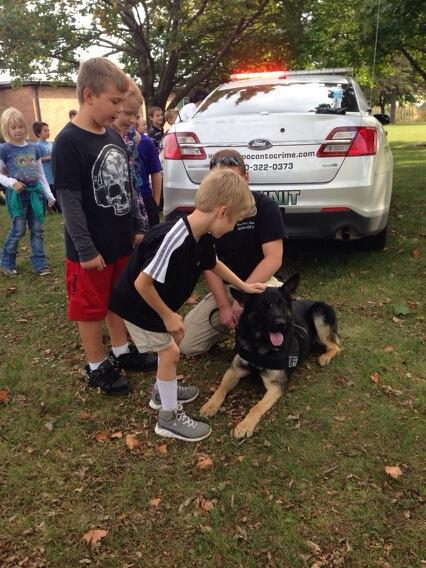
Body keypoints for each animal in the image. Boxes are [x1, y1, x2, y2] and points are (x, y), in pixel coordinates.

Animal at [200, 274, 341, 438]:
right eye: (262, 306)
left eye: (281, 304)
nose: (281, 324)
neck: (259, 344)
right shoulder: (233, 371)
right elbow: (221, 388)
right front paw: (210, 405)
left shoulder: (275, 386)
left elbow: (257, 407)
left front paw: (245, 425)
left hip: (319, 314)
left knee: (336, 346)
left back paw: (325, 357)